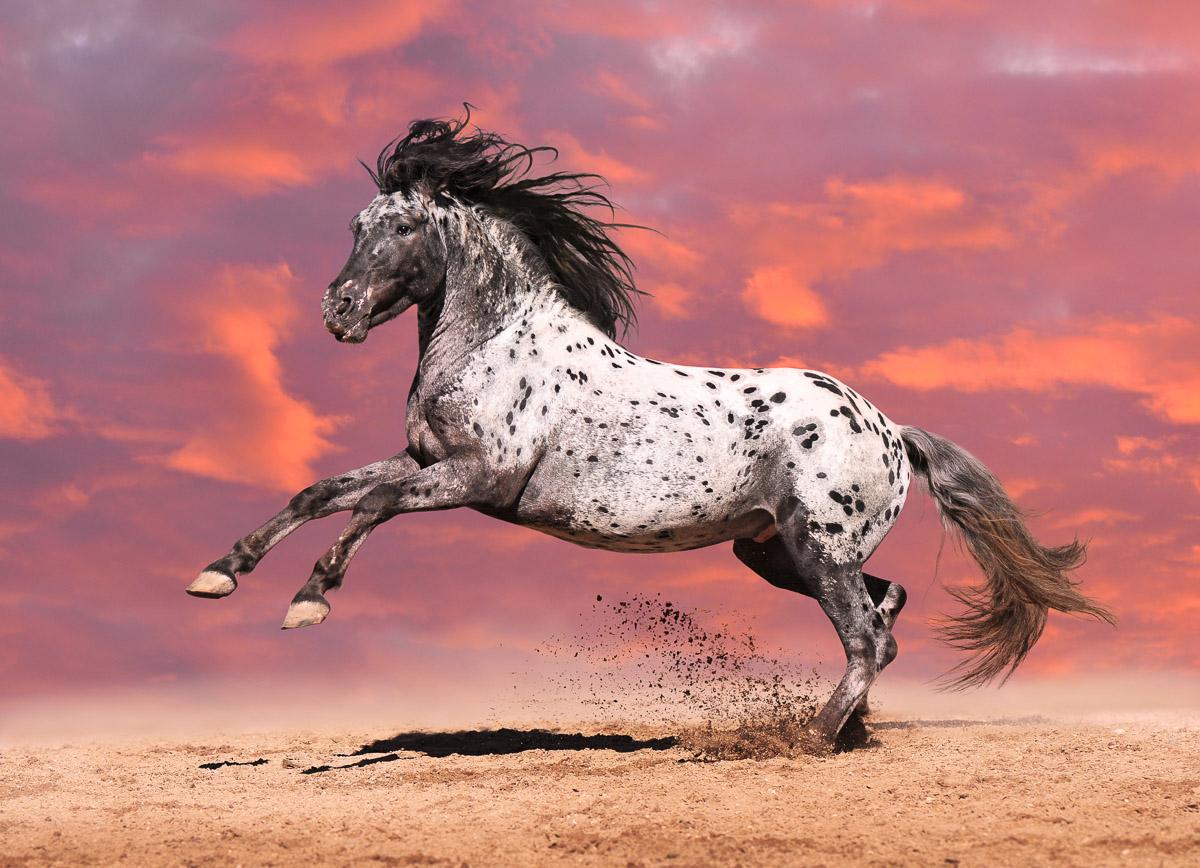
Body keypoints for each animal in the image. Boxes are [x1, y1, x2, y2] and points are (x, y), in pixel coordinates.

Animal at [186, 112, 1113, 744]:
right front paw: (219, 576)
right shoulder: (423, 460)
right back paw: (848, 730)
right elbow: (322, 491)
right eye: (355, 227)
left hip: (818, 548)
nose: (338, 312)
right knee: (885, 612)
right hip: (774, 550)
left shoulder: (475, 480)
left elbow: (370, 508)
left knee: (866, 638)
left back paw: (809, 739)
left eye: (406, 226)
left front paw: (308, 603)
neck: (494, 340)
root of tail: (890, 428)